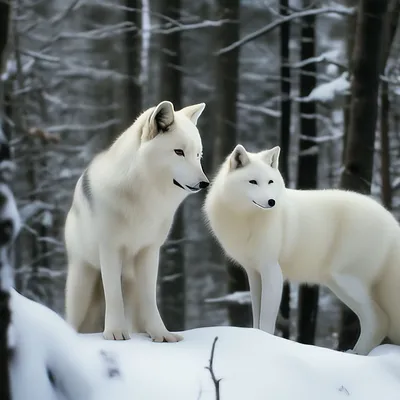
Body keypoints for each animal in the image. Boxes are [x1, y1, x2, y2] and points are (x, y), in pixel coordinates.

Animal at [64, 101, 208, 342]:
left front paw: (161, 334)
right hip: (81, 284)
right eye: (179, 152)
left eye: (198, 155)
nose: (205, 183)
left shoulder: (149, 252)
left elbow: (150, 299)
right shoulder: (110, 249)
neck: (146, 198)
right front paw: (115, 333)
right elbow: (113, 295)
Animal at [205, 145, 400, 356]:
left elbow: (266, 321)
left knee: (378, 320)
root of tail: (392, 222)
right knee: (380, 321)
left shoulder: (272, 270)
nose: (272, 202)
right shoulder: (254, 273)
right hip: (339, 283)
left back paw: (353, 354)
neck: (247, 219)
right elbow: (256, 317)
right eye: (253, 182)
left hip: (345, 281)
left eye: (270, 181)